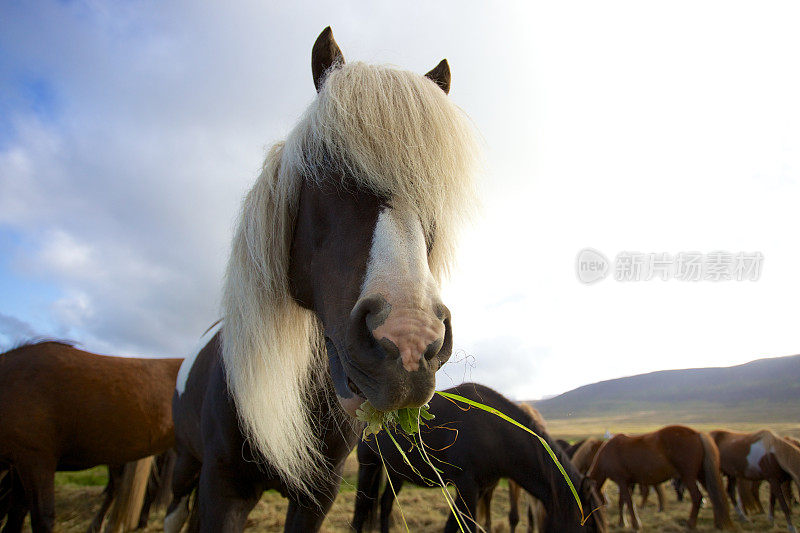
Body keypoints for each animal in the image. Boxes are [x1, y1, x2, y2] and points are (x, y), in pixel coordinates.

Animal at [164, 28, 482, 532]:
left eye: (433, 196)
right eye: (325, 169)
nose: (410, 341)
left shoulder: (318, 495)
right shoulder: (222, 486)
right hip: (183, 466)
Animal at [352, 382, 608, 532]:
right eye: (591, 527)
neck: (496, 433)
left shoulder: (477, 488)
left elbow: (452, 526)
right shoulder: (467, 487)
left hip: (397, 472)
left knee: (385, 504)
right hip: (368, 465)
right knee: (361, 511)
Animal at [588, 424, 732, 528]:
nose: (602, 522)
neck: (607, 453)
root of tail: (697, 434)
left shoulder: (622, 481)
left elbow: (628, 502)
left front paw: (635, 524)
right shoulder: (626, 483)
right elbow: (622, 502)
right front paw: (622, 523)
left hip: (689, 476)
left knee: (697, 497)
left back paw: (690, 524)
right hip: (702, 475)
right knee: (714, 496)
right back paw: (719, 524)